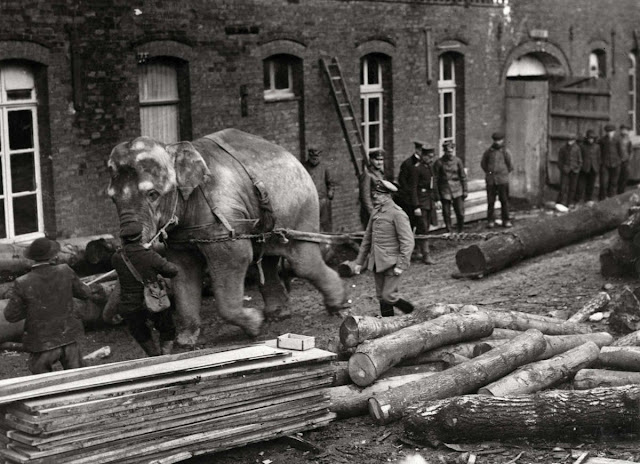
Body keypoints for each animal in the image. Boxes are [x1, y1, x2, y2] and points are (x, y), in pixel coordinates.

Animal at [107, 129, 348, 346]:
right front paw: (185, 342)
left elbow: (235, 257)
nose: (129, 240)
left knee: (303, 262)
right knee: (267, 261)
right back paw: (278, 315)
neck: (173, 147)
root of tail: (291, 156)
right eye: (113, 199)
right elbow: (182, 269)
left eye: (152, 194)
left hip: (300, 206)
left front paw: (255, 325)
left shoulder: (224, 215)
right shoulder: (180, 236)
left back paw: (339, 306)